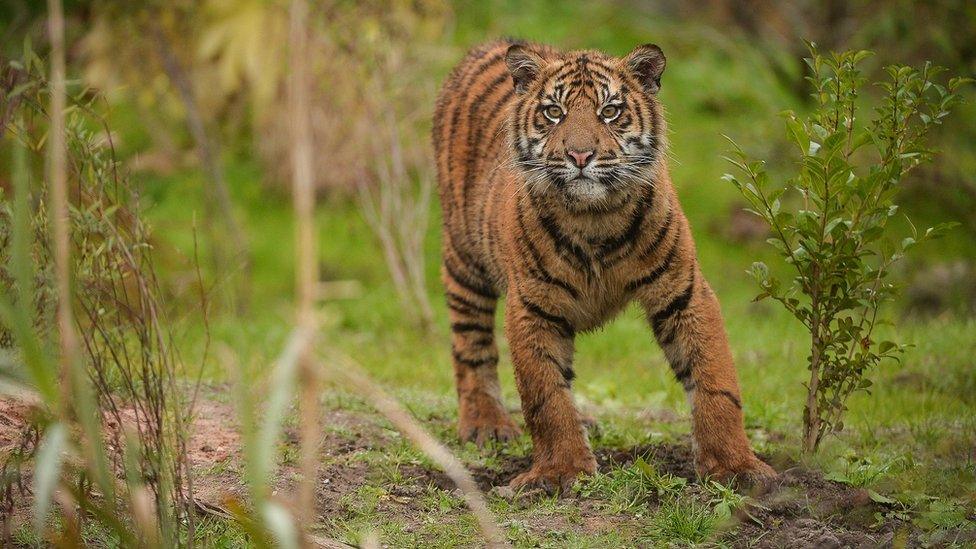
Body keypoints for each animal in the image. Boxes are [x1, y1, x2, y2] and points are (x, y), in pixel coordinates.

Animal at [432, 39, 775, 494]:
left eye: (610, 111)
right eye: (553, 112)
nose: (580, 155)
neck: (595, 218)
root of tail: (489, 44)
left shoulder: (685, 292)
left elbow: (716, 383)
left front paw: (735, 466)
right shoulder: (532, 306)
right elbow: (545, 397)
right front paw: (561, 470)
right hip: (465, 260)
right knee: (471, 345)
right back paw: (487, 424)